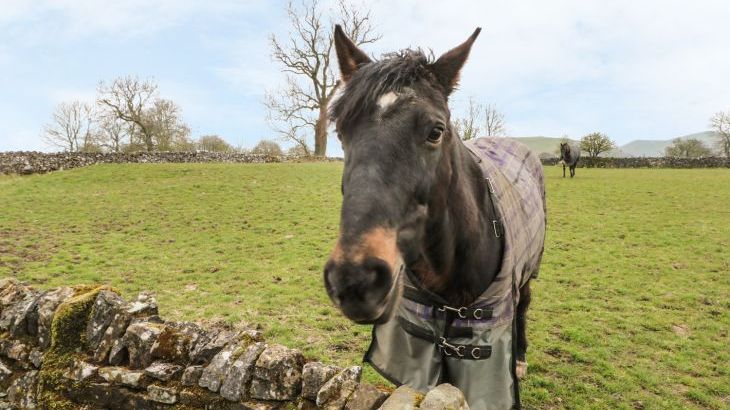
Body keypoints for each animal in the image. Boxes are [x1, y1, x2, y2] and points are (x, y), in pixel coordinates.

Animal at [322, 26, 544, 410]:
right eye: (340, 132)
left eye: (435, 131)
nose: (355, 280)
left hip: (528, 274)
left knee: (523, 309)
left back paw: (519, 359)